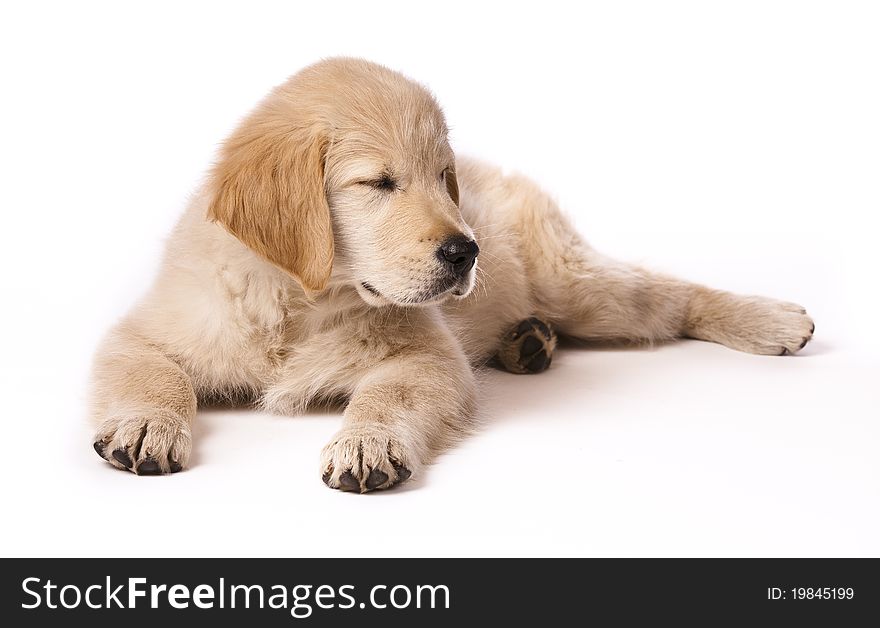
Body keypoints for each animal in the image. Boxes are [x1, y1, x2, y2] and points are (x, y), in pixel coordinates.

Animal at [87, 57, 812, 490]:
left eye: (442, 178)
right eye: (378, 183)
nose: (468, 252)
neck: (299, 302)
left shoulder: (429, 357)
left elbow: (385, 395)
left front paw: (366, 444)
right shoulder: (147, 329)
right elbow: (149, 373)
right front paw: (145, 426)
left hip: (579, 287)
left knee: (670, 294)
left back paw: (772, 319)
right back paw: (528, 342)